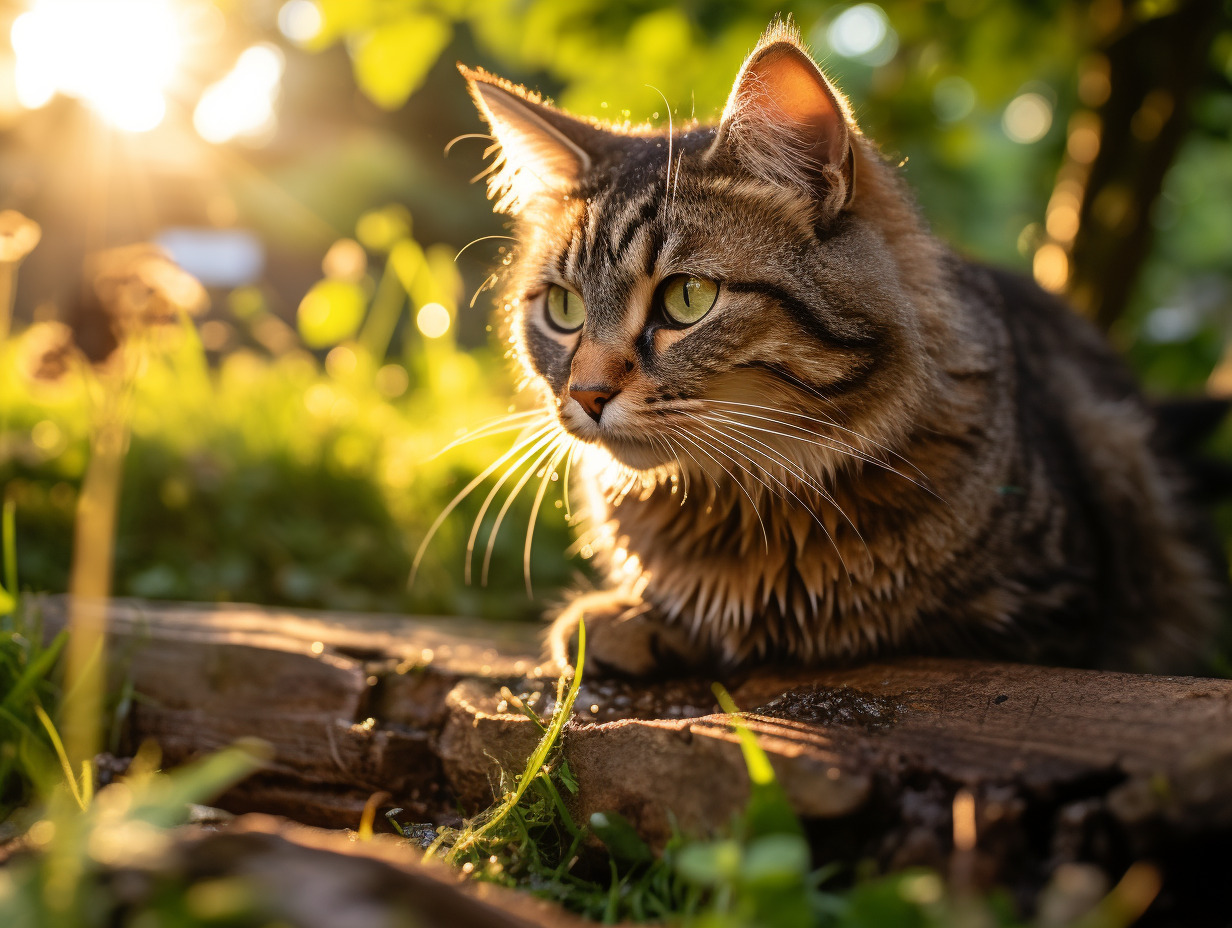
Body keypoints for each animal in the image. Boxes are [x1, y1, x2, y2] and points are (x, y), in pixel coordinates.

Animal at [455, 19, 1222, 675]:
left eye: (687, 299)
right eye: (564, 309)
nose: (585, 395)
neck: (751, 507)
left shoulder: (1061, 605)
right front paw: (627, 621)